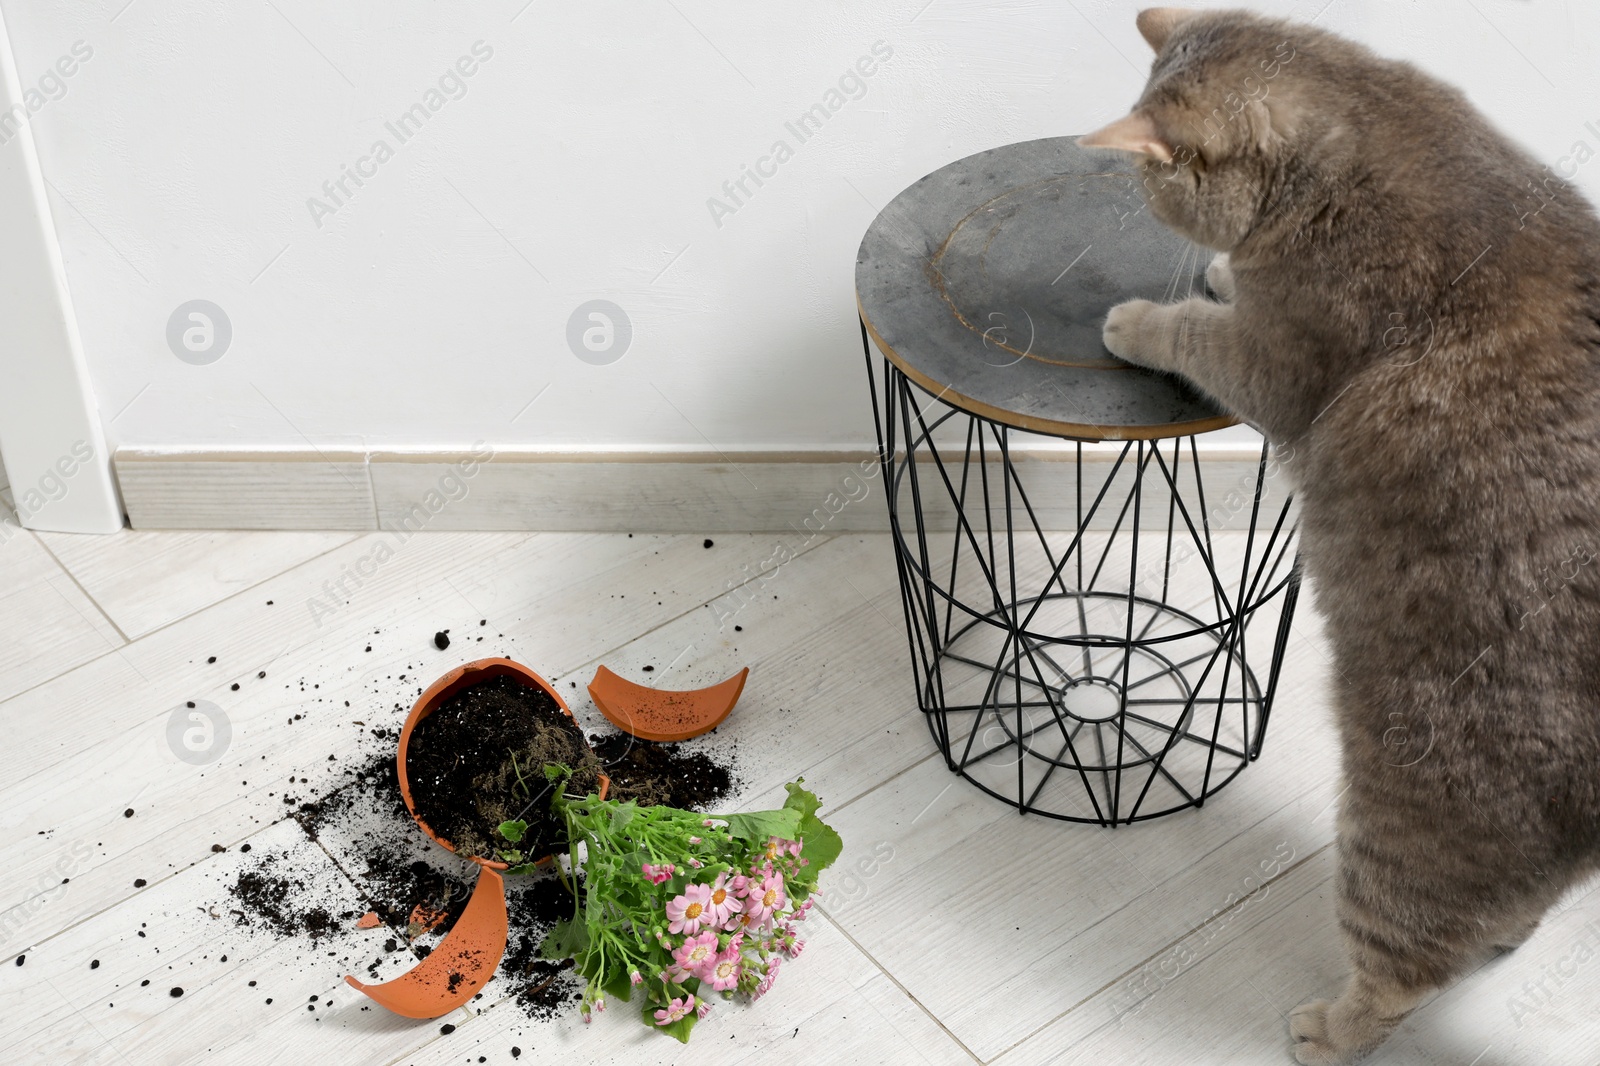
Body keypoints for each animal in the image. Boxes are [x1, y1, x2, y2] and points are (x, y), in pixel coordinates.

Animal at [1081, 8, 1600, 1062]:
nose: (1149, 203)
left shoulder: (1277, 362)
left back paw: (1327, 1029)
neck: (1366, 132)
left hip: (1409, 827)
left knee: (1406, 969)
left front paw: (1150, 313)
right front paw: (1224, 267)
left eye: (1153, 181)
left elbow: (1194, 332)